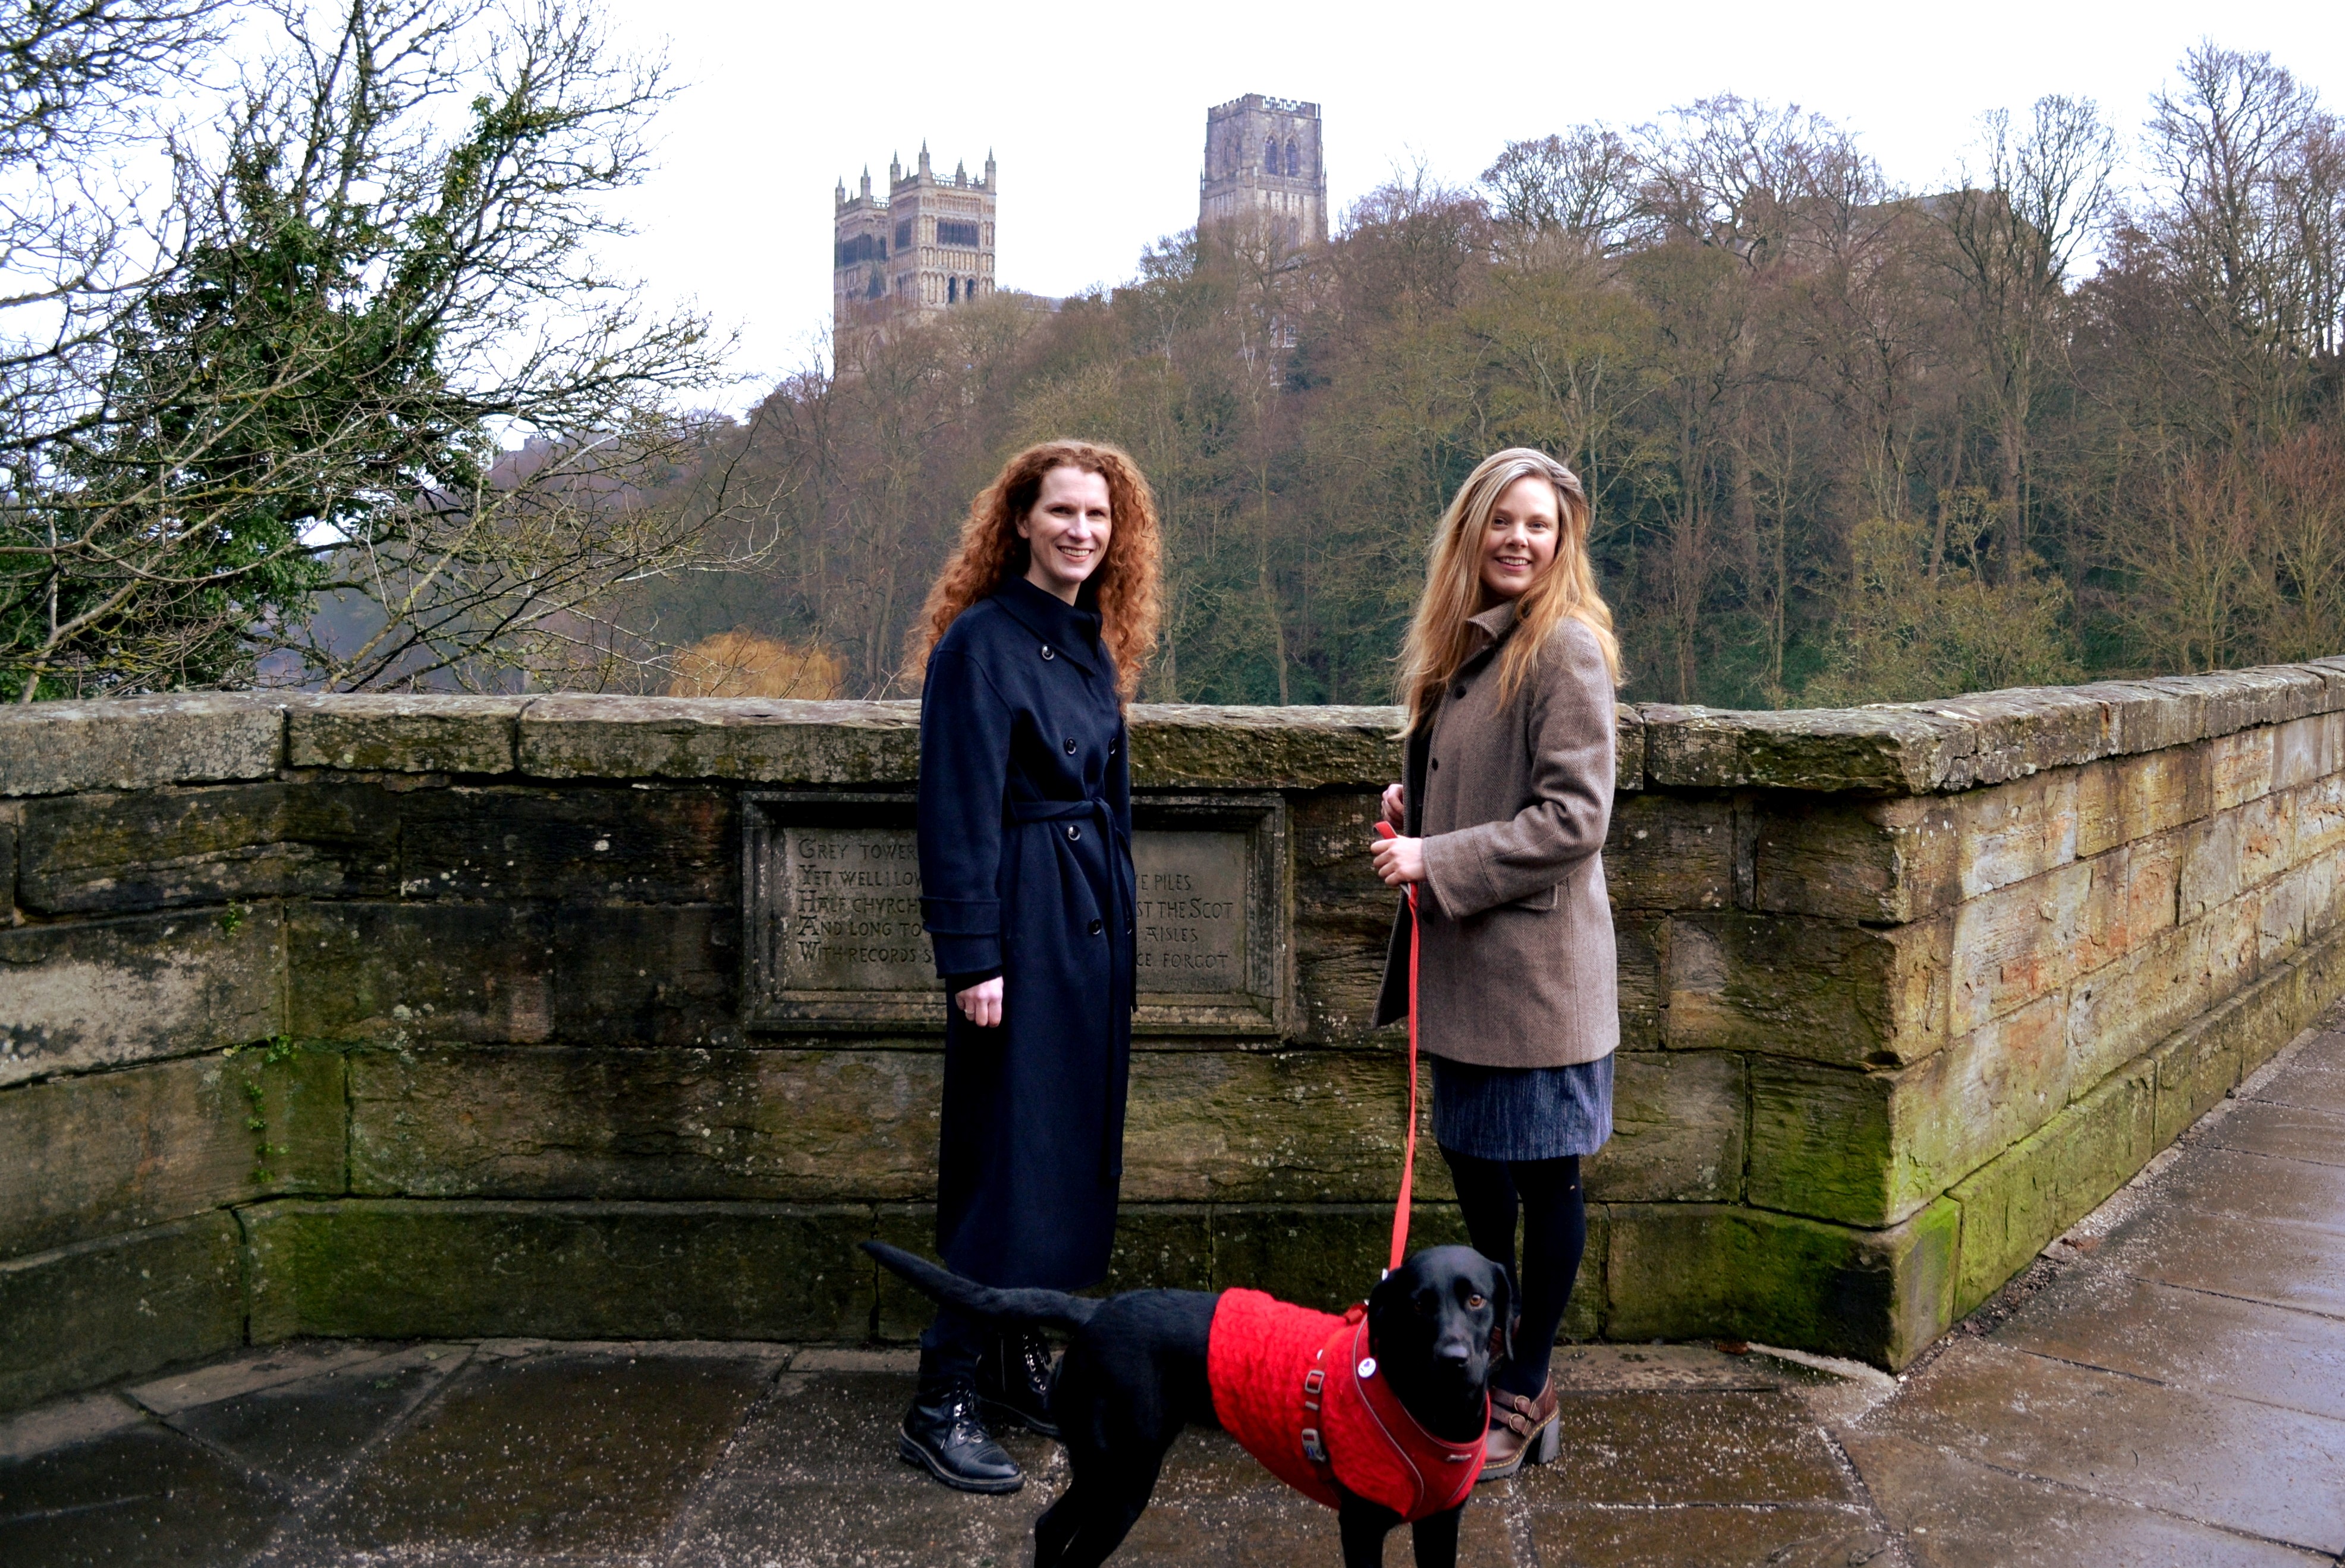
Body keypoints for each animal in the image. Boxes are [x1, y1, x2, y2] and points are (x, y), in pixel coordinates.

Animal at [863, 1237, 1501, 1566]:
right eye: (1418, 1304)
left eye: (1476, 1299)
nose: (1454, 1358)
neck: (1432, 1409)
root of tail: (1093, 1310)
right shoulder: (1361, 1526)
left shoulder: (1442, 1522)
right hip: (1123, 1479)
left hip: (1103, 1472)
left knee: (1048, 1526)